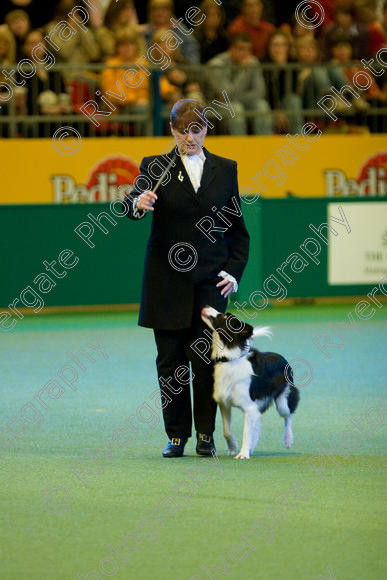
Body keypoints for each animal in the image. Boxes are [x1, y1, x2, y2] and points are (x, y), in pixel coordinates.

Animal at [202, 306, 302, 460]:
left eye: (224, 317)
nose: (206, 306)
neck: (230, 359)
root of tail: (283, 358)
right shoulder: (225, 403)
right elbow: (227, 430)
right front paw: (234, 448)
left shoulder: (249, 408)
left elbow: (246, 432)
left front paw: (243, 454)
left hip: (282, 402)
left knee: (288, 416)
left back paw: (288, 440)